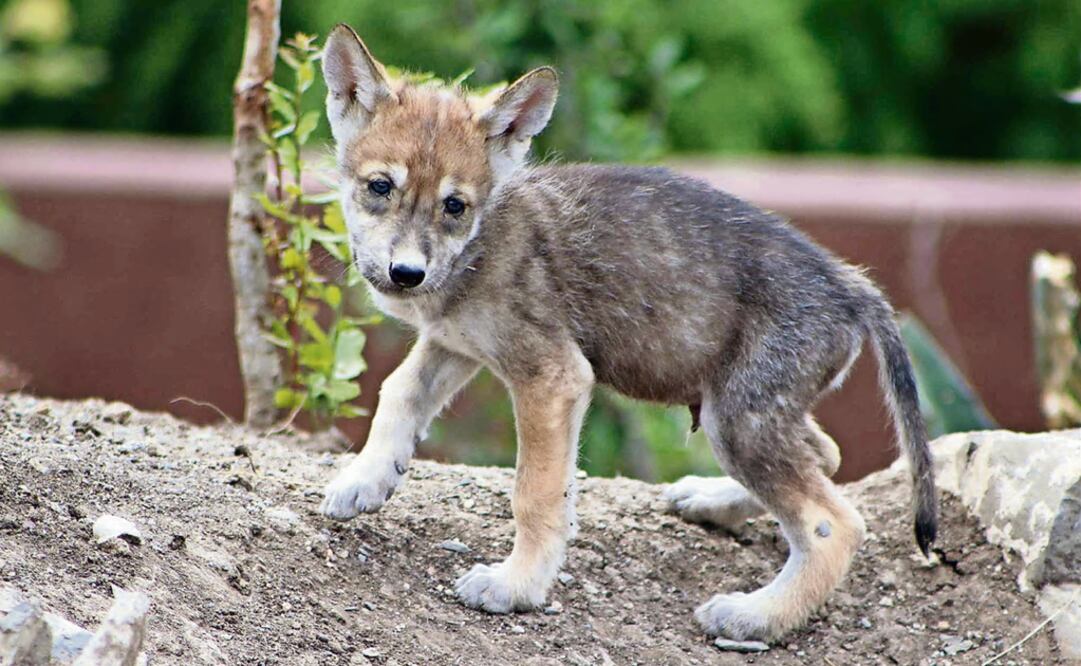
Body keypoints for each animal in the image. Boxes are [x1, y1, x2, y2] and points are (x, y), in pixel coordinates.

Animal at [317, 24, 938, 641]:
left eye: (454, 205)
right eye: (380, 186)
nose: (406, 274)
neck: (483, 241)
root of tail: (850, 285)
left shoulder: (553, 377)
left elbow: (535, 494)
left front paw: (517, 586)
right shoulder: (455, 344)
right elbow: (398, 394)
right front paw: (367, 479)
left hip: (738, 420)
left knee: (834, 523)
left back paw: (756, 616)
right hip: (749, 415)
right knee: (827, 454)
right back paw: (712, 502)